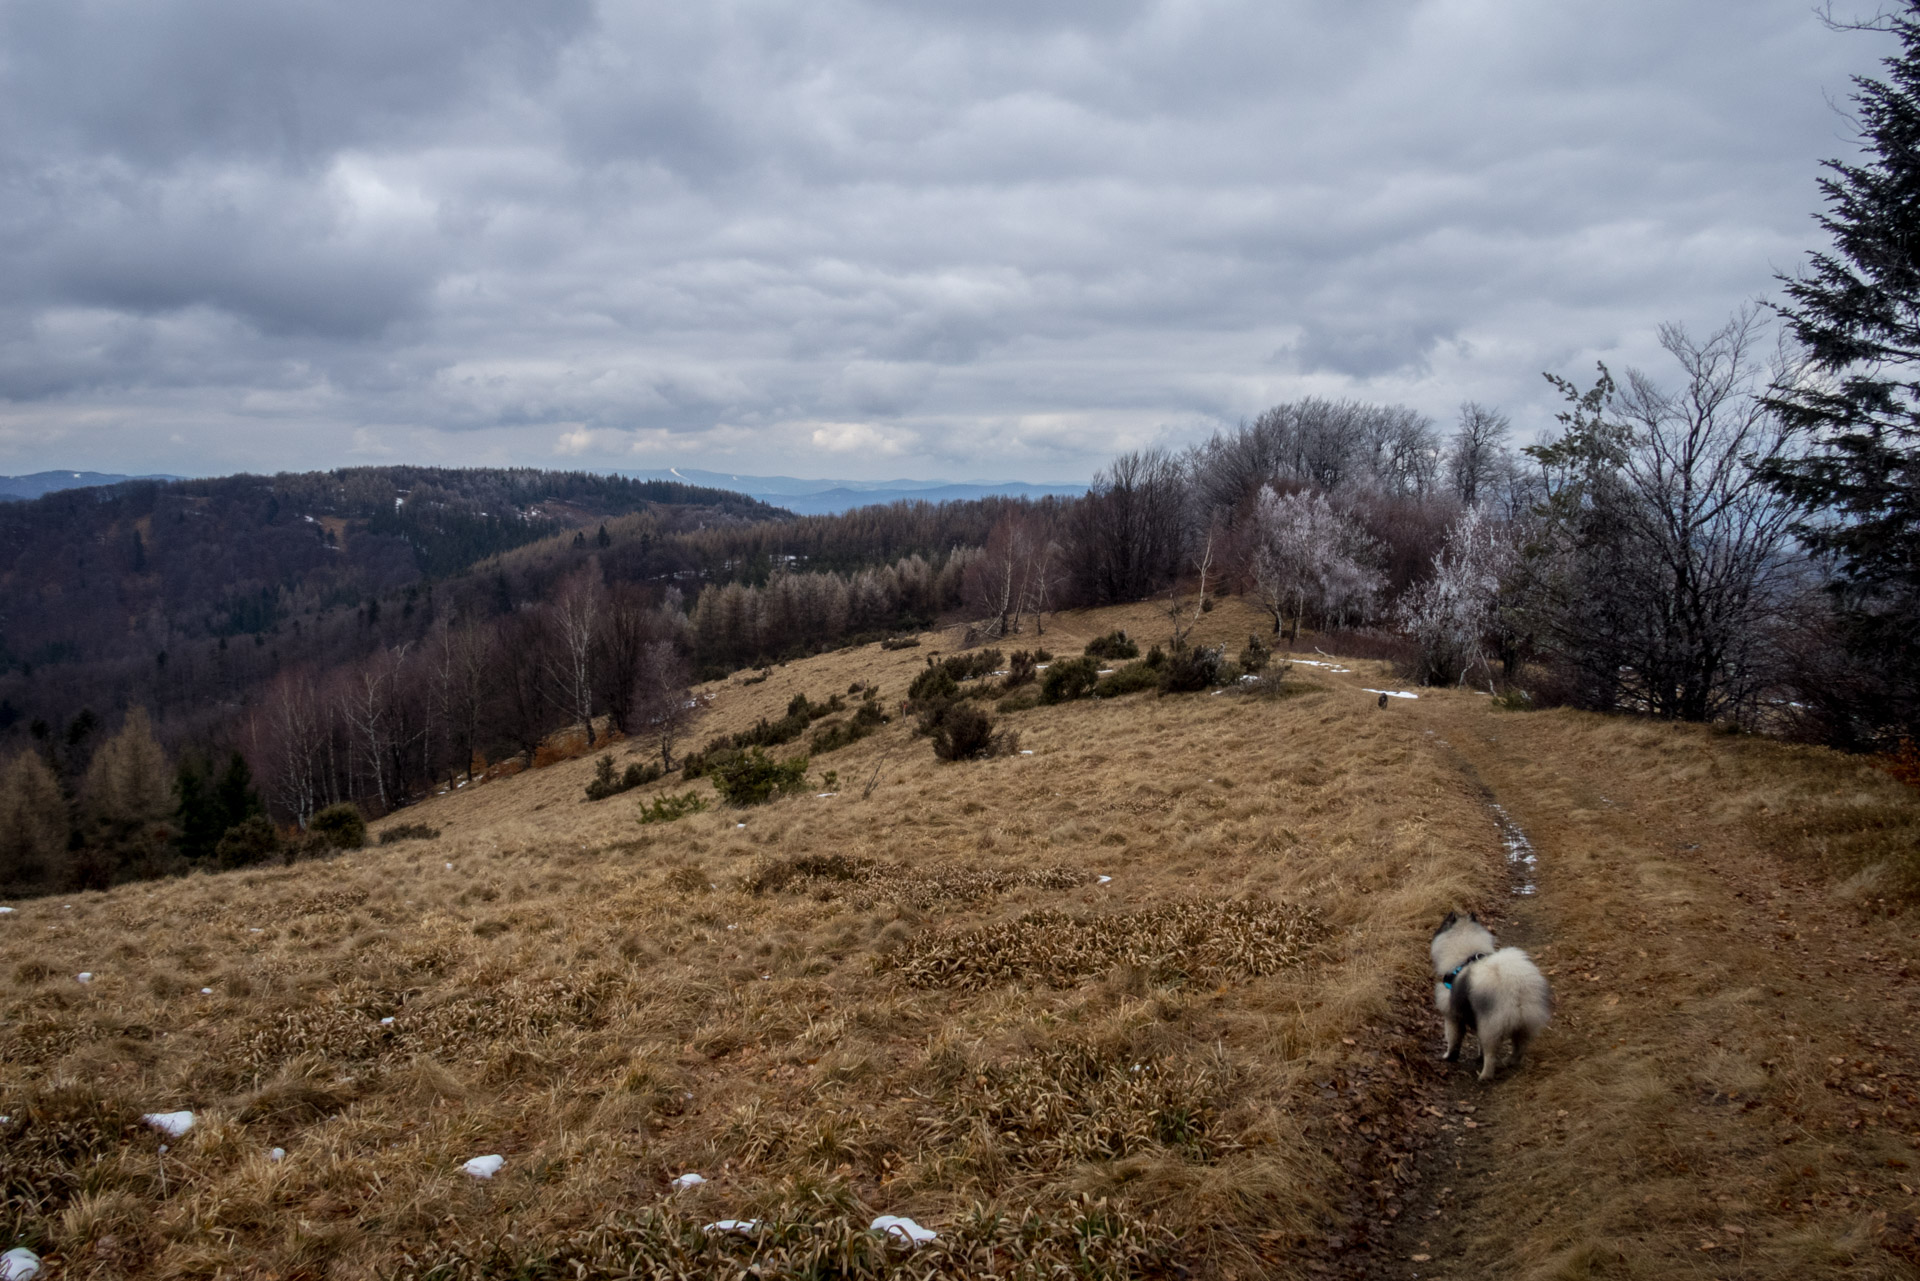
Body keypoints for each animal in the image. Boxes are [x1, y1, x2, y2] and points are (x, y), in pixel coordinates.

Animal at [1436, 910, 1551, 1083]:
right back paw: (1509, 1062)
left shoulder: (1452, 1016)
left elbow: (1453, 1040)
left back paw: (1485, 1076)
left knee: (1491, 1055)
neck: (1466, 956)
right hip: (1524, 1024)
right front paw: (1478, 1056)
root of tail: (1515, 988)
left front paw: (1448, 1057)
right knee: (1519, 1048)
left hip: (1490, 1026)